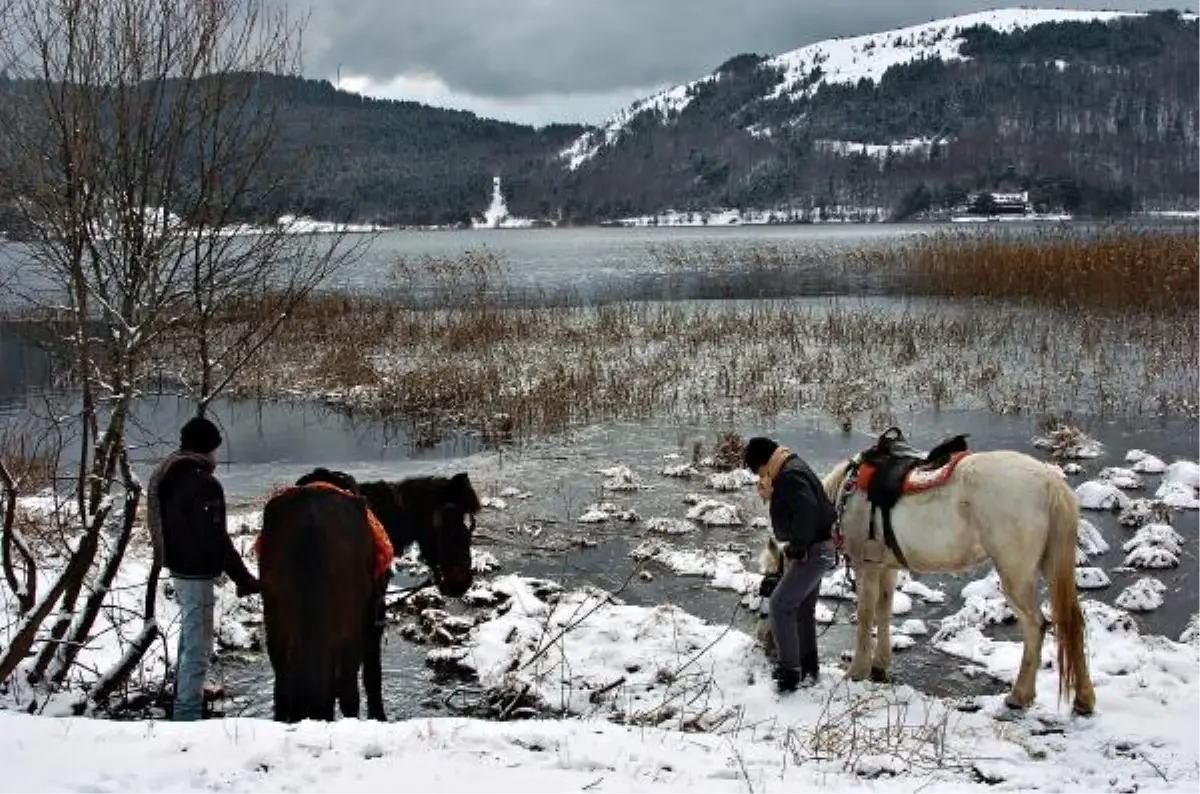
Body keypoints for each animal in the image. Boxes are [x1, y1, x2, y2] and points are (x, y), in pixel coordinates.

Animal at [260, 470, 480, 724]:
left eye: (470, 526)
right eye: (448, 525)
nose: (461, 581)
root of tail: (310, 524)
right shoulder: (374, 617)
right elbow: (372, 676)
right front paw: (378, 716)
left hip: (278, 625)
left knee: (283, 688)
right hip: (348, 627)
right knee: (347, 689)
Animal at [763, 448, 1094, 719]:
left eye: (770, 584)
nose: (769, 649)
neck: (845, 499)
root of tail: (1050, 482)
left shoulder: (866, 567)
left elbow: (866, 617)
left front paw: (857, 671)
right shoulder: (887, 568)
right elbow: (884, 612)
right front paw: (880, 665)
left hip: (1015, 573)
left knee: (1036, 626)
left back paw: (1019, 696)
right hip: (1050, 565)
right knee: (1072, 622)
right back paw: (1084, 700)